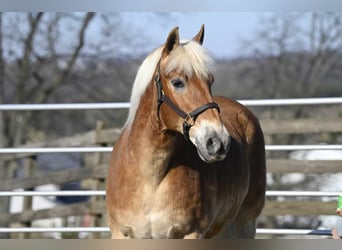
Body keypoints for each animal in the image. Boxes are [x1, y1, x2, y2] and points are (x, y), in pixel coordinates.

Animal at [105, 24, 266, 238]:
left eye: (210, 81)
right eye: (178, 82)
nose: (218, 142)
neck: (151, 178)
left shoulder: (192, 233)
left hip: (244, 225)